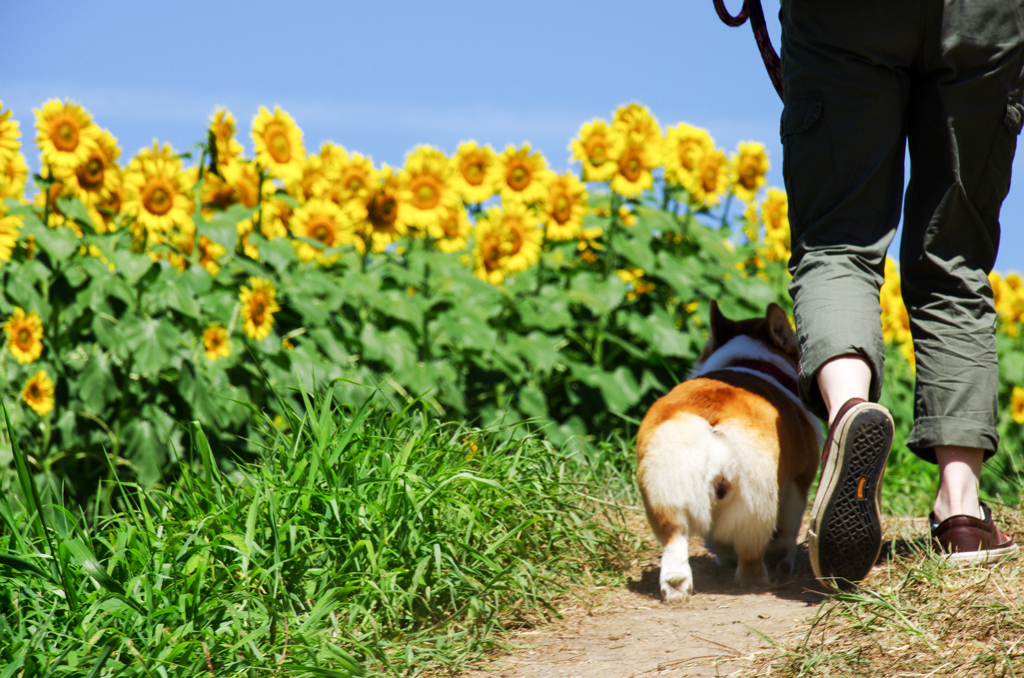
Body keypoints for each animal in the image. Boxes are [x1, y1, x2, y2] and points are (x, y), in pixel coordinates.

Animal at [634, 301, 819, 602]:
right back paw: (757, 581)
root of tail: (710, 417)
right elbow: (788, 530)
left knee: (675, 541)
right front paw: (783, 562)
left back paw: (676, 588)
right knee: (751, 552)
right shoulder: (797, 483)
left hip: (666, 489)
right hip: (756, 501)